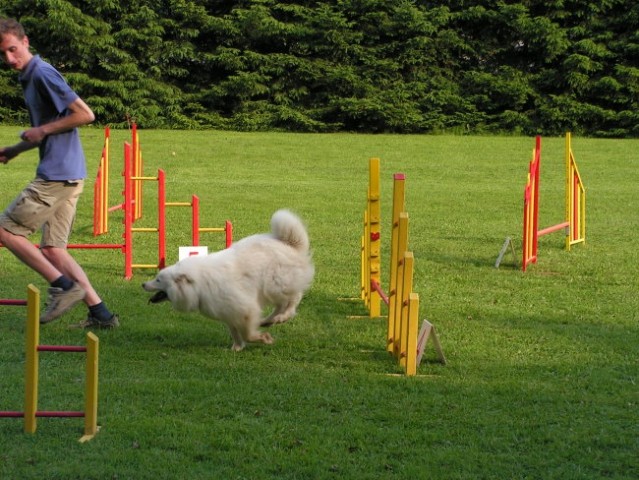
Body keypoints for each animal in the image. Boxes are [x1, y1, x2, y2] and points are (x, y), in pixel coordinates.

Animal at [144, 208, 316, 350]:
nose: (143, 284)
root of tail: (290, 243)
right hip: (272, 291)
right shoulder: (229, 313)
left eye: (158, 280)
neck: (199, 285)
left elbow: (248, 334)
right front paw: (237, 348)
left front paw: (263, 339)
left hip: (275, 285)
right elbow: (235, 332)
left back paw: (282, 317)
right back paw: (269, 320)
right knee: (281, 305)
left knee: (293, 300)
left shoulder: (245, 309)